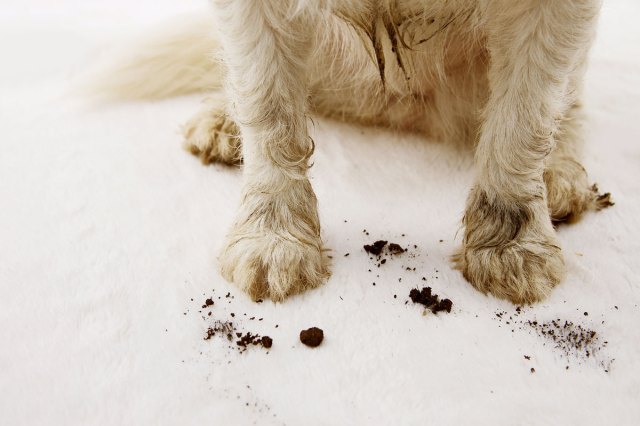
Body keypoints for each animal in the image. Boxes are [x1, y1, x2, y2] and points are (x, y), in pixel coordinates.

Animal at [100, 0, 608, 306]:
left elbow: (524, 118)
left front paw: (511, 246)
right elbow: (268, 107)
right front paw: (273, 239)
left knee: (569, 99)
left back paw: (561, 174)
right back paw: (223, 120)